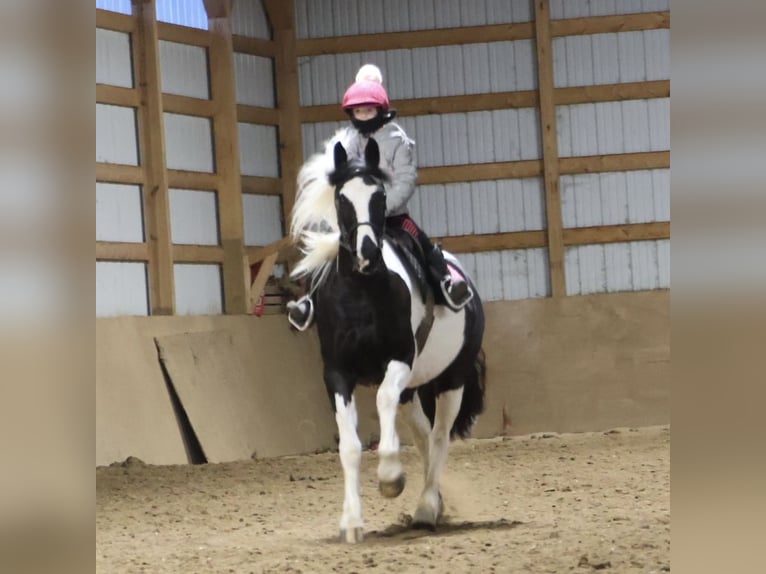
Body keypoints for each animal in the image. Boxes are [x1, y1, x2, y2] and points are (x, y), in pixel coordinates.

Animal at [289, 136, 486, 543]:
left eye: (379, 196)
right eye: (341, 199)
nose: (366, 252)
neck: (362, 293)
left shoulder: (398, 361)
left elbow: (382, 402)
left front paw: (391, 478)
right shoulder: (336, 374)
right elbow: (349, 446)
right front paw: (351, 522)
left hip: (452, 380)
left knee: (439, 438)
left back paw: (426, 508)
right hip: (413, 390)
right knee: (425, 436)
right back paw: (434, 503)